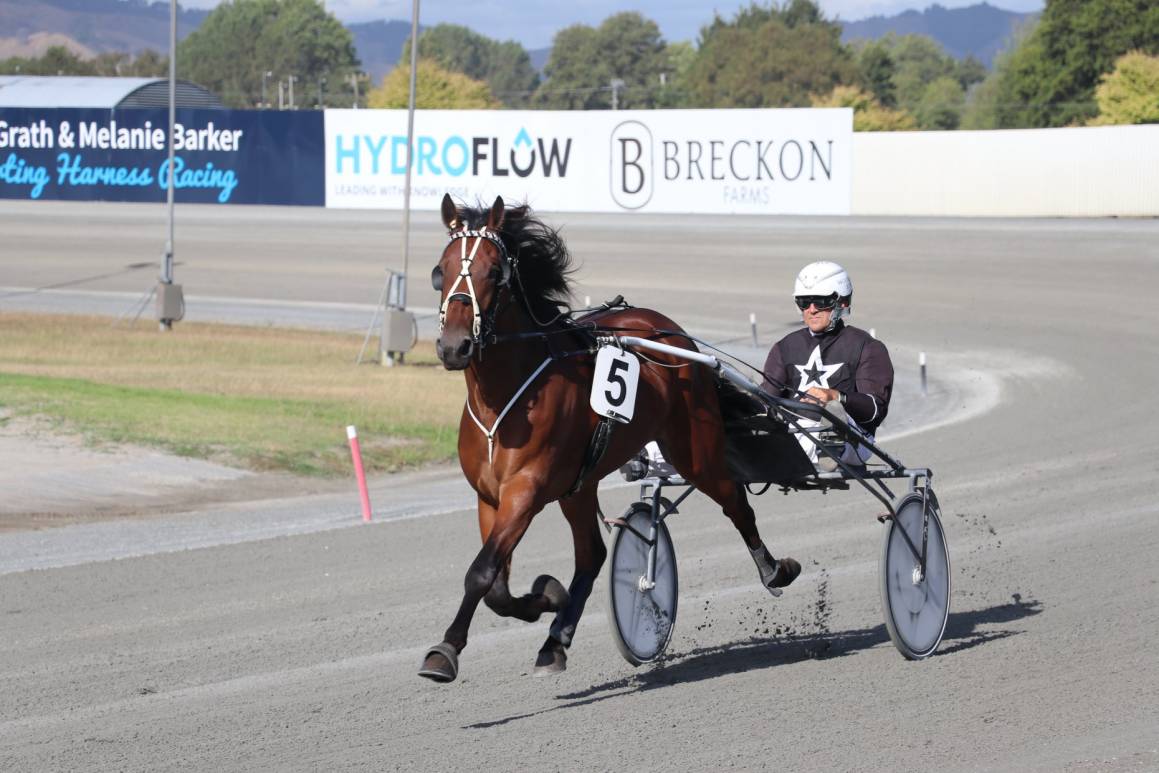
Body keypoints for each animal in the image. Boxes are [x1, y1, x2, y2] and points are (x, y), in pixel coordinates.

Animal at [421, 194, 802, 681]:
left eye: (493, 271)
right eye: (442, 269)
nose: (454, 346)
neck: (504, 396)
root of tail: (671, 332)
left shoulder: (524, 492)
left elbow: (481, 573)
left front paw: (444, 651)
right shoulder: (490, 498)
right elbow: (497, 587)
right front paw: (546, 597)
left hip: (694, 450)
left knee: (735, 500)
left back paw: (774, 571)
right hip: (578, 485)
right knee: (592, 554)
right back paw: (555, 640)